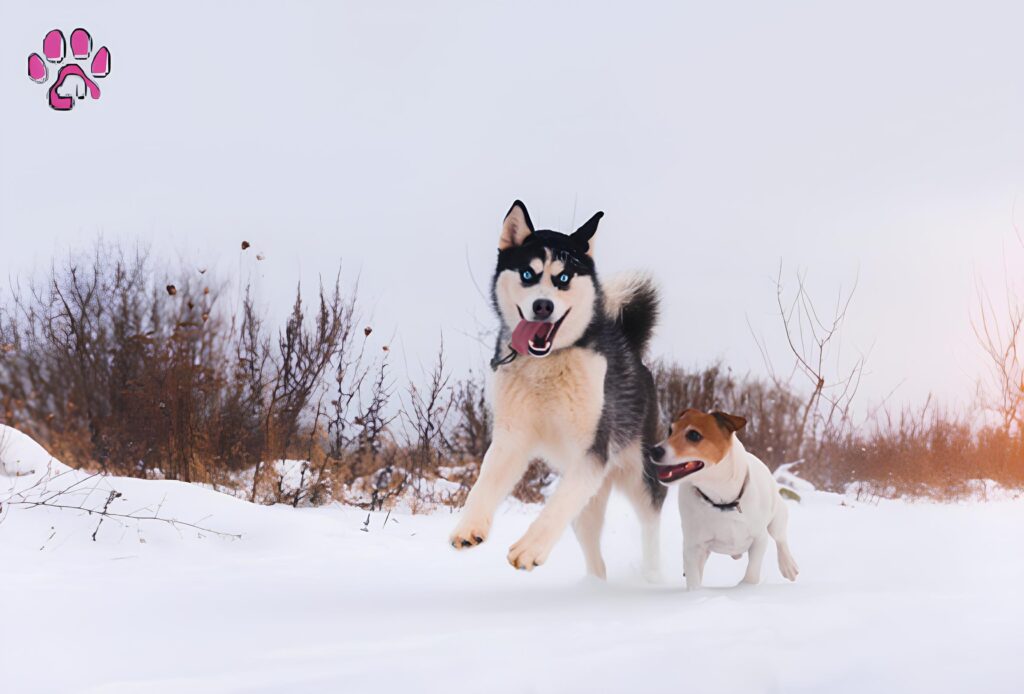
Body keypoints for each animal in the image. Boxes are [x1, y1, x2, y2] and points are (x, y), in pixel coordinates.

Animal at [448, 199, 663, 577]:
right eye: (528, 274)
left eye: (563, 278)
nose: (543, 305)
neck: (545, 366)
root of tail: (631, 348)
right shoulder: (511, 438)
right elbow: (484, 483)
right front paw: (469, 525)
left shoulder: (592, 452)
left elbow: (556, 505)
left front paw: (530, 547)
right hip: (591, 499)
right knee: (589, 540)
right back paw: (595, 585)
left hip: (639, 474)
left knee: (649, 526)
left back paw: (653, 577)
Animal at [647, 411, 798, 589]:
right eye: (670, 431)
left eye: (694, 435)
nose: (654, 450)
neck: (720, 500)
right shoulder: (694, 546)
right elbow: (694, 579)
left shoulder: (759, 538)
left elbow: (752, 573)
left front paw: (746, 587)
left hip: (777, 516)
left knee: (780, 539)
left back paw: (788, 566)